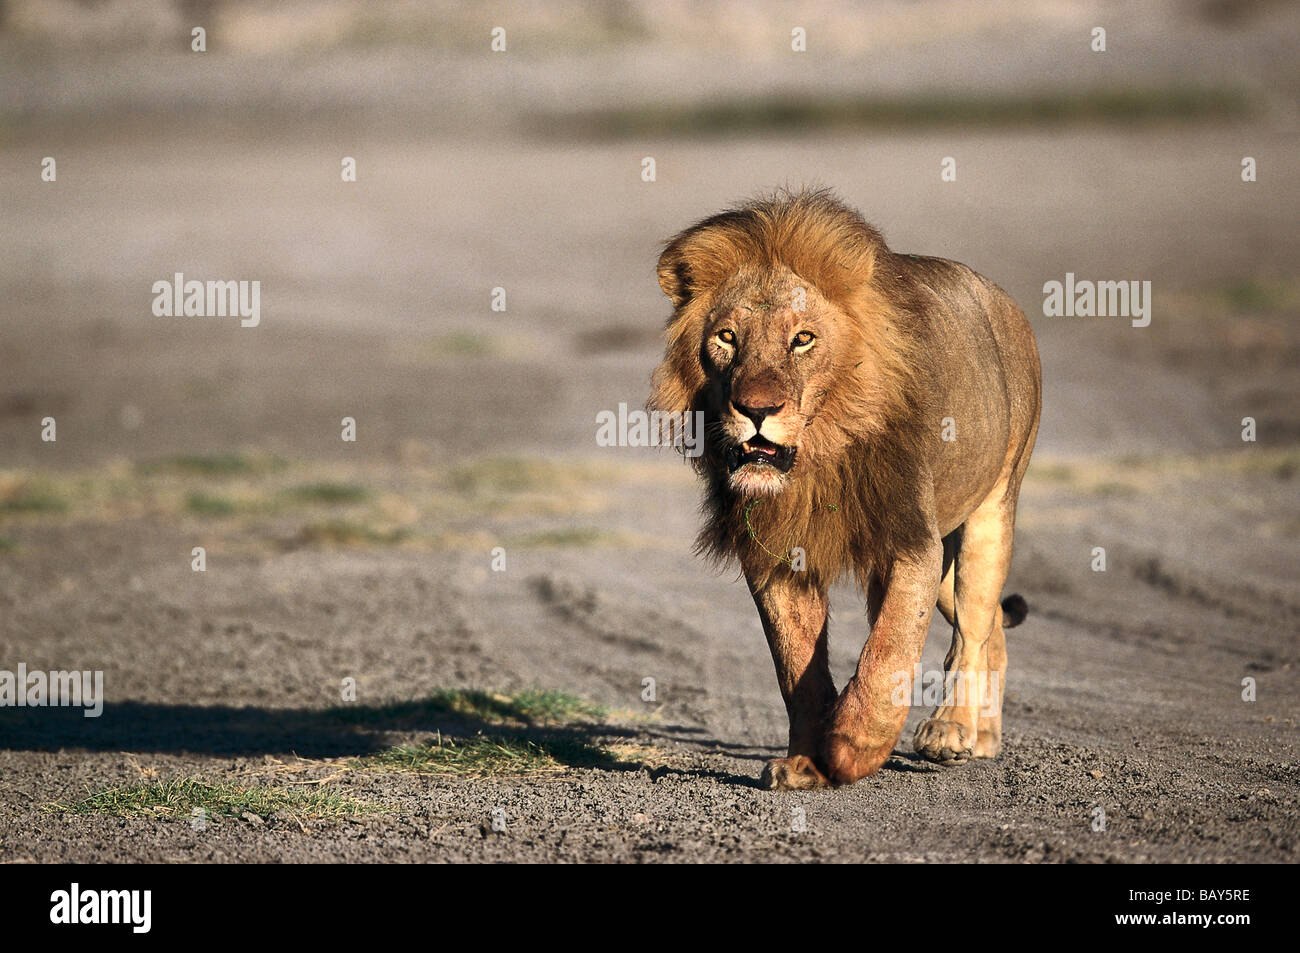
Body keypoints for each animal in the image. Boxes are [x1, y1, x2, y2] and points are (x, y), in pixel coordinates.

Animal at [650, 187, 1045, 790]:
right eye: (727, 337)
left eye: (803, 339)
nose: (757, 409)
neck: (818, 460)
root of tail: (1005, 302)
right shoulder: (776, 556)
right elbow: (797, 668)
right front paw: (803, 764)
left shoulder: (910, 541)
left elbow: (889, 650)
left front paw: (853, 745)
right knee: (995, 629)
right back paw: (984, 736)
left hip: (993, 507)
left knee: (974, 629)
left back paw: (951, 730)